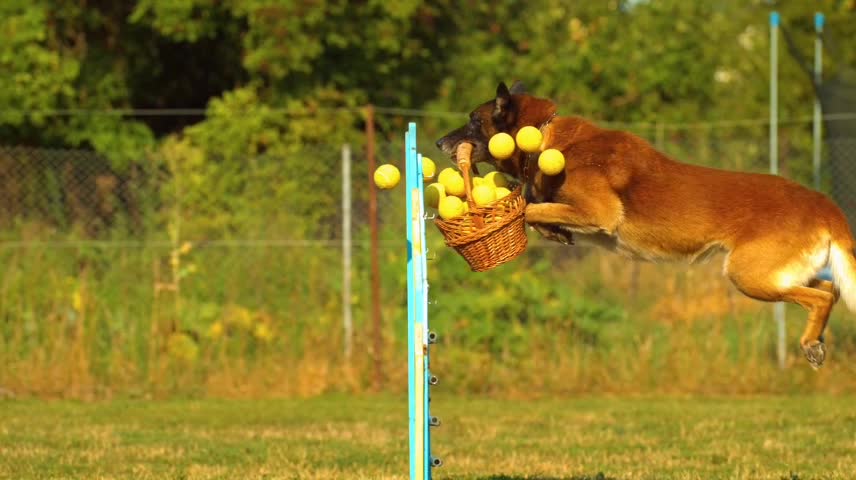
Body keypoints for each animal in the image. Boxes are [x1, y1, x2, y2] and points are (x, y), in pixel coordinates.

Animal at [438, 81, 856, 368]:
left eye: (473, 120)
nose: (440, 142)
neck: (543, 134)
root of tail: (824, 204)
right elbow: (538, 207)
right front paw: (552, 230)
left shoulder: (600, 211)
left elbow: (529, 208)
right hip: (778, 274)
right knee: (829, 290)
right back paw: (815, 340)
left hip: (747, 273)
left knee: (821, 296)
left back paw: (810, 344)